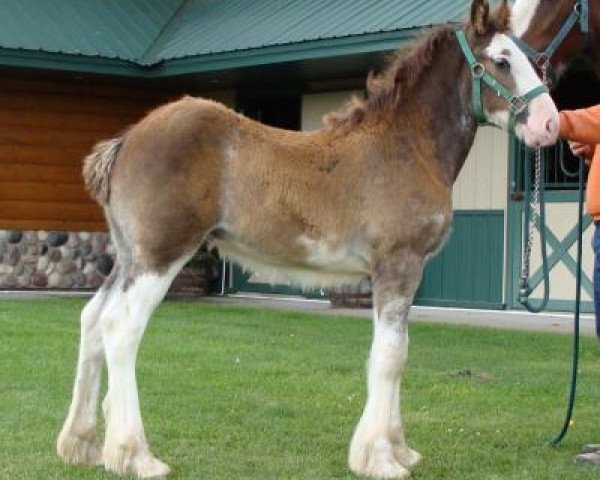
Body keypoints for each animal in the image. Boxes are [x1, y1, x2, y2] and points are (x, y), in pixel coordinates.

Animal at [56, 0, 556, 476]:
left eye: (532, 58)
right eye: (502, 60)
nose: (550, 124)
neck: (405, 147)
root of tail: (126, 141)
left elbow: (397, 350)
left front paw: (400, 449)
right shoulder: (399, 265)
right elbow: (391, 355)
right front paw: (379, 459)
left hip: (128, 258)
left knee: (92, 320)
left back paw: (81, 444)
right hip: (161, 256)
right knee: (122, 329)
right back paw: (134, 455)